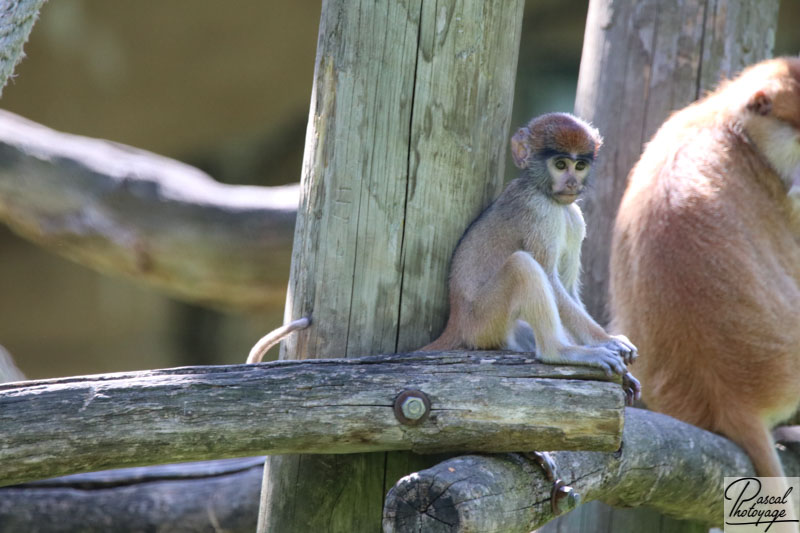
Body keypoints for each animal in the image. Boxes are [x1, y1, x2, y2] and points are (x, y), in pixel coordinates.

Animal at [422, 113, 640, 404]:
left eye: (580, 165)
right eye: (560, 164)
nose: (572, 183)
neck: (541, 189)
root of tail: (456, 322)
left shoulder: (573, 216)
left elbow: (567, 288)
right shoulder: (540, 212)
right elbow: (548, 277)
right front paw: (607, 340)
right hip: (482, 321)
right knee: (522, 266)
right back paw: (559, 351)